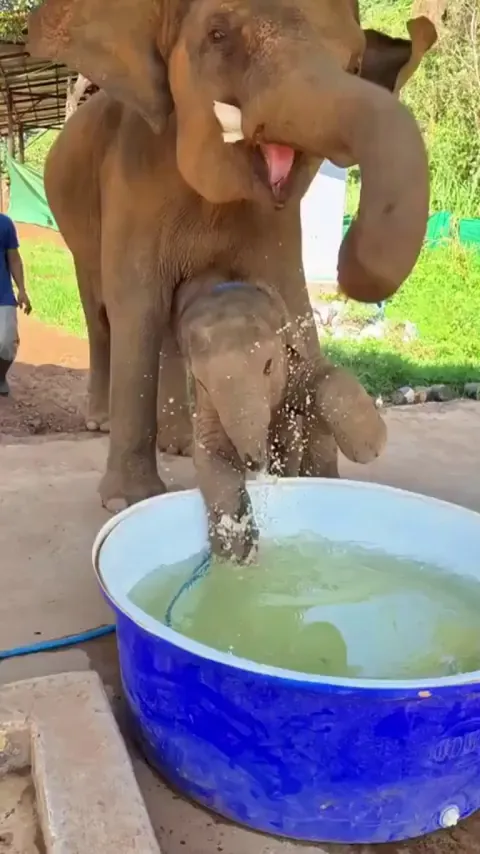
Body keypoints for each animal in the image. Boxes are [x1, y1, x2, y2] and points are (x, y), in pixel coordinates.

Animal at [28, 0, 438, 512]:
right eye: (218, 34)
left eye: (357, 63)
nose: (348, 263)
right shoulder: (129, 180)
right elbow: (137, 309)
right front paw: (126, 503)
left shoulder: (274, 222)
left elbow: (293, 305)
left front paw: (325, 478)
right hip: (75, 227)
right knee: (100, 313)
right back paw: (101, 423)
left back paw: (180, 446)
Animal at [172, 271, 386, 560]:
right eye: (202, 382)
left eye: (268, 366)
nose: (255, 463)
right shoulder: (205, 400)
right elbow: (211, 451)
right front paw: (236, 550)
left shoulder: (288, 350)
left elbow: (314, 376)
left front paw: (371, 446)